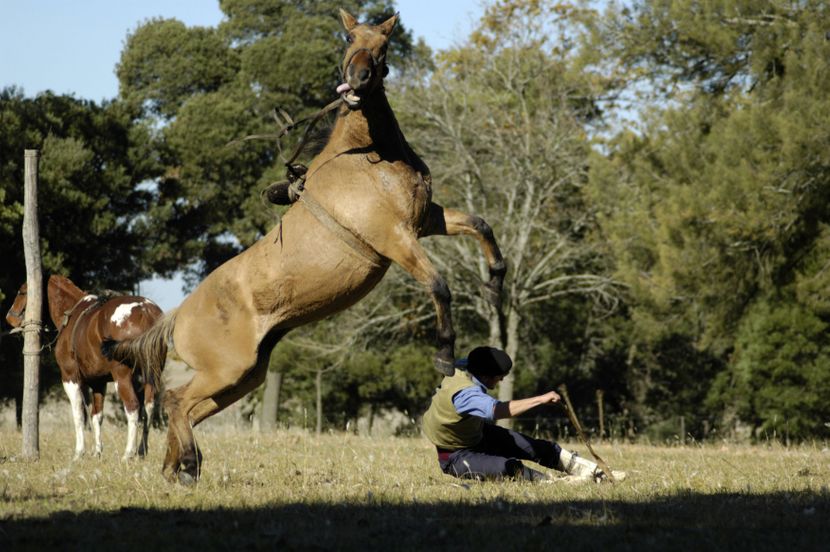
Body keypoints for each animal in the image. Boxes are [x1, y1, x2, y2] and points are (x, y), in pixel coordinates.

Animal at [5, 274, 162, 460]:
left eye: (22, 291)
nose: (9, 317)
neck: (69, 315)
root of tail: (146, 311)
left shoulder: (70, 378)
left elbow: (78, 414)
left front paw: (79, 452)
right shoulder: (98, 383)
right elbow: (96, 416)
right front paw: (97, 452)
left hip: (122, 376)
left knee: (132, 407)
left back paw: (128, 453)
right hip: (150, 375)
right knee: (149, 407)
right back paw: (141, 451)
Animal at [104, 9, 508, 484]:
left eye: (384, 44)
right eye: (349, 39)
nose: (357, 78)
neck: (366, 157)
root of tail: (176, 316)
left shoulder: (425, 221)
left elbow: (480, 225)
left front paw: (494, 286)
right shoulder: (396, 239)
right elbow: (439, 285)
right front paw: (445, 356)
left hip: (243, 377)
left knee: (184, 406)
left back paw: (176, 467)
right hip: (227, 371)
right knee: (176, 401)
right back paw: (186, 465)